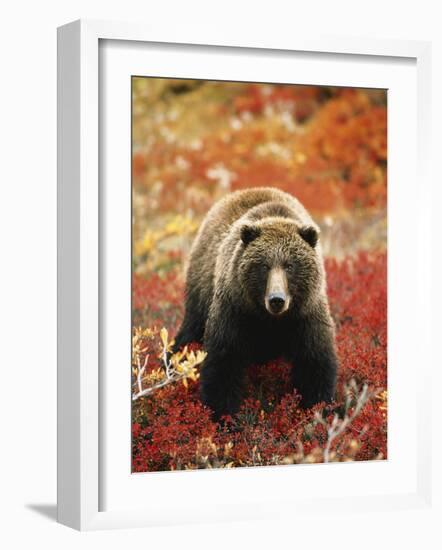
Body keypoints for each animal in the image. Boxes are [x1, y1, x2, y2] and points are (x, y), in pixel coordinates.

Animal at [174, 188, 338, 420]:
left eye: (290, 265)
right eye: (264, 265)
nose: (277, 299)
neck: (270, 320)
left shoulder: (306, 315)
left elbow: (315, 364)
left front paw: (317, 411)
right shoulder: (235, 310)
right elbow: (223, 363)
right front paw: (224, 416)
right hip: (201, 288)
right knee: (189, 331)